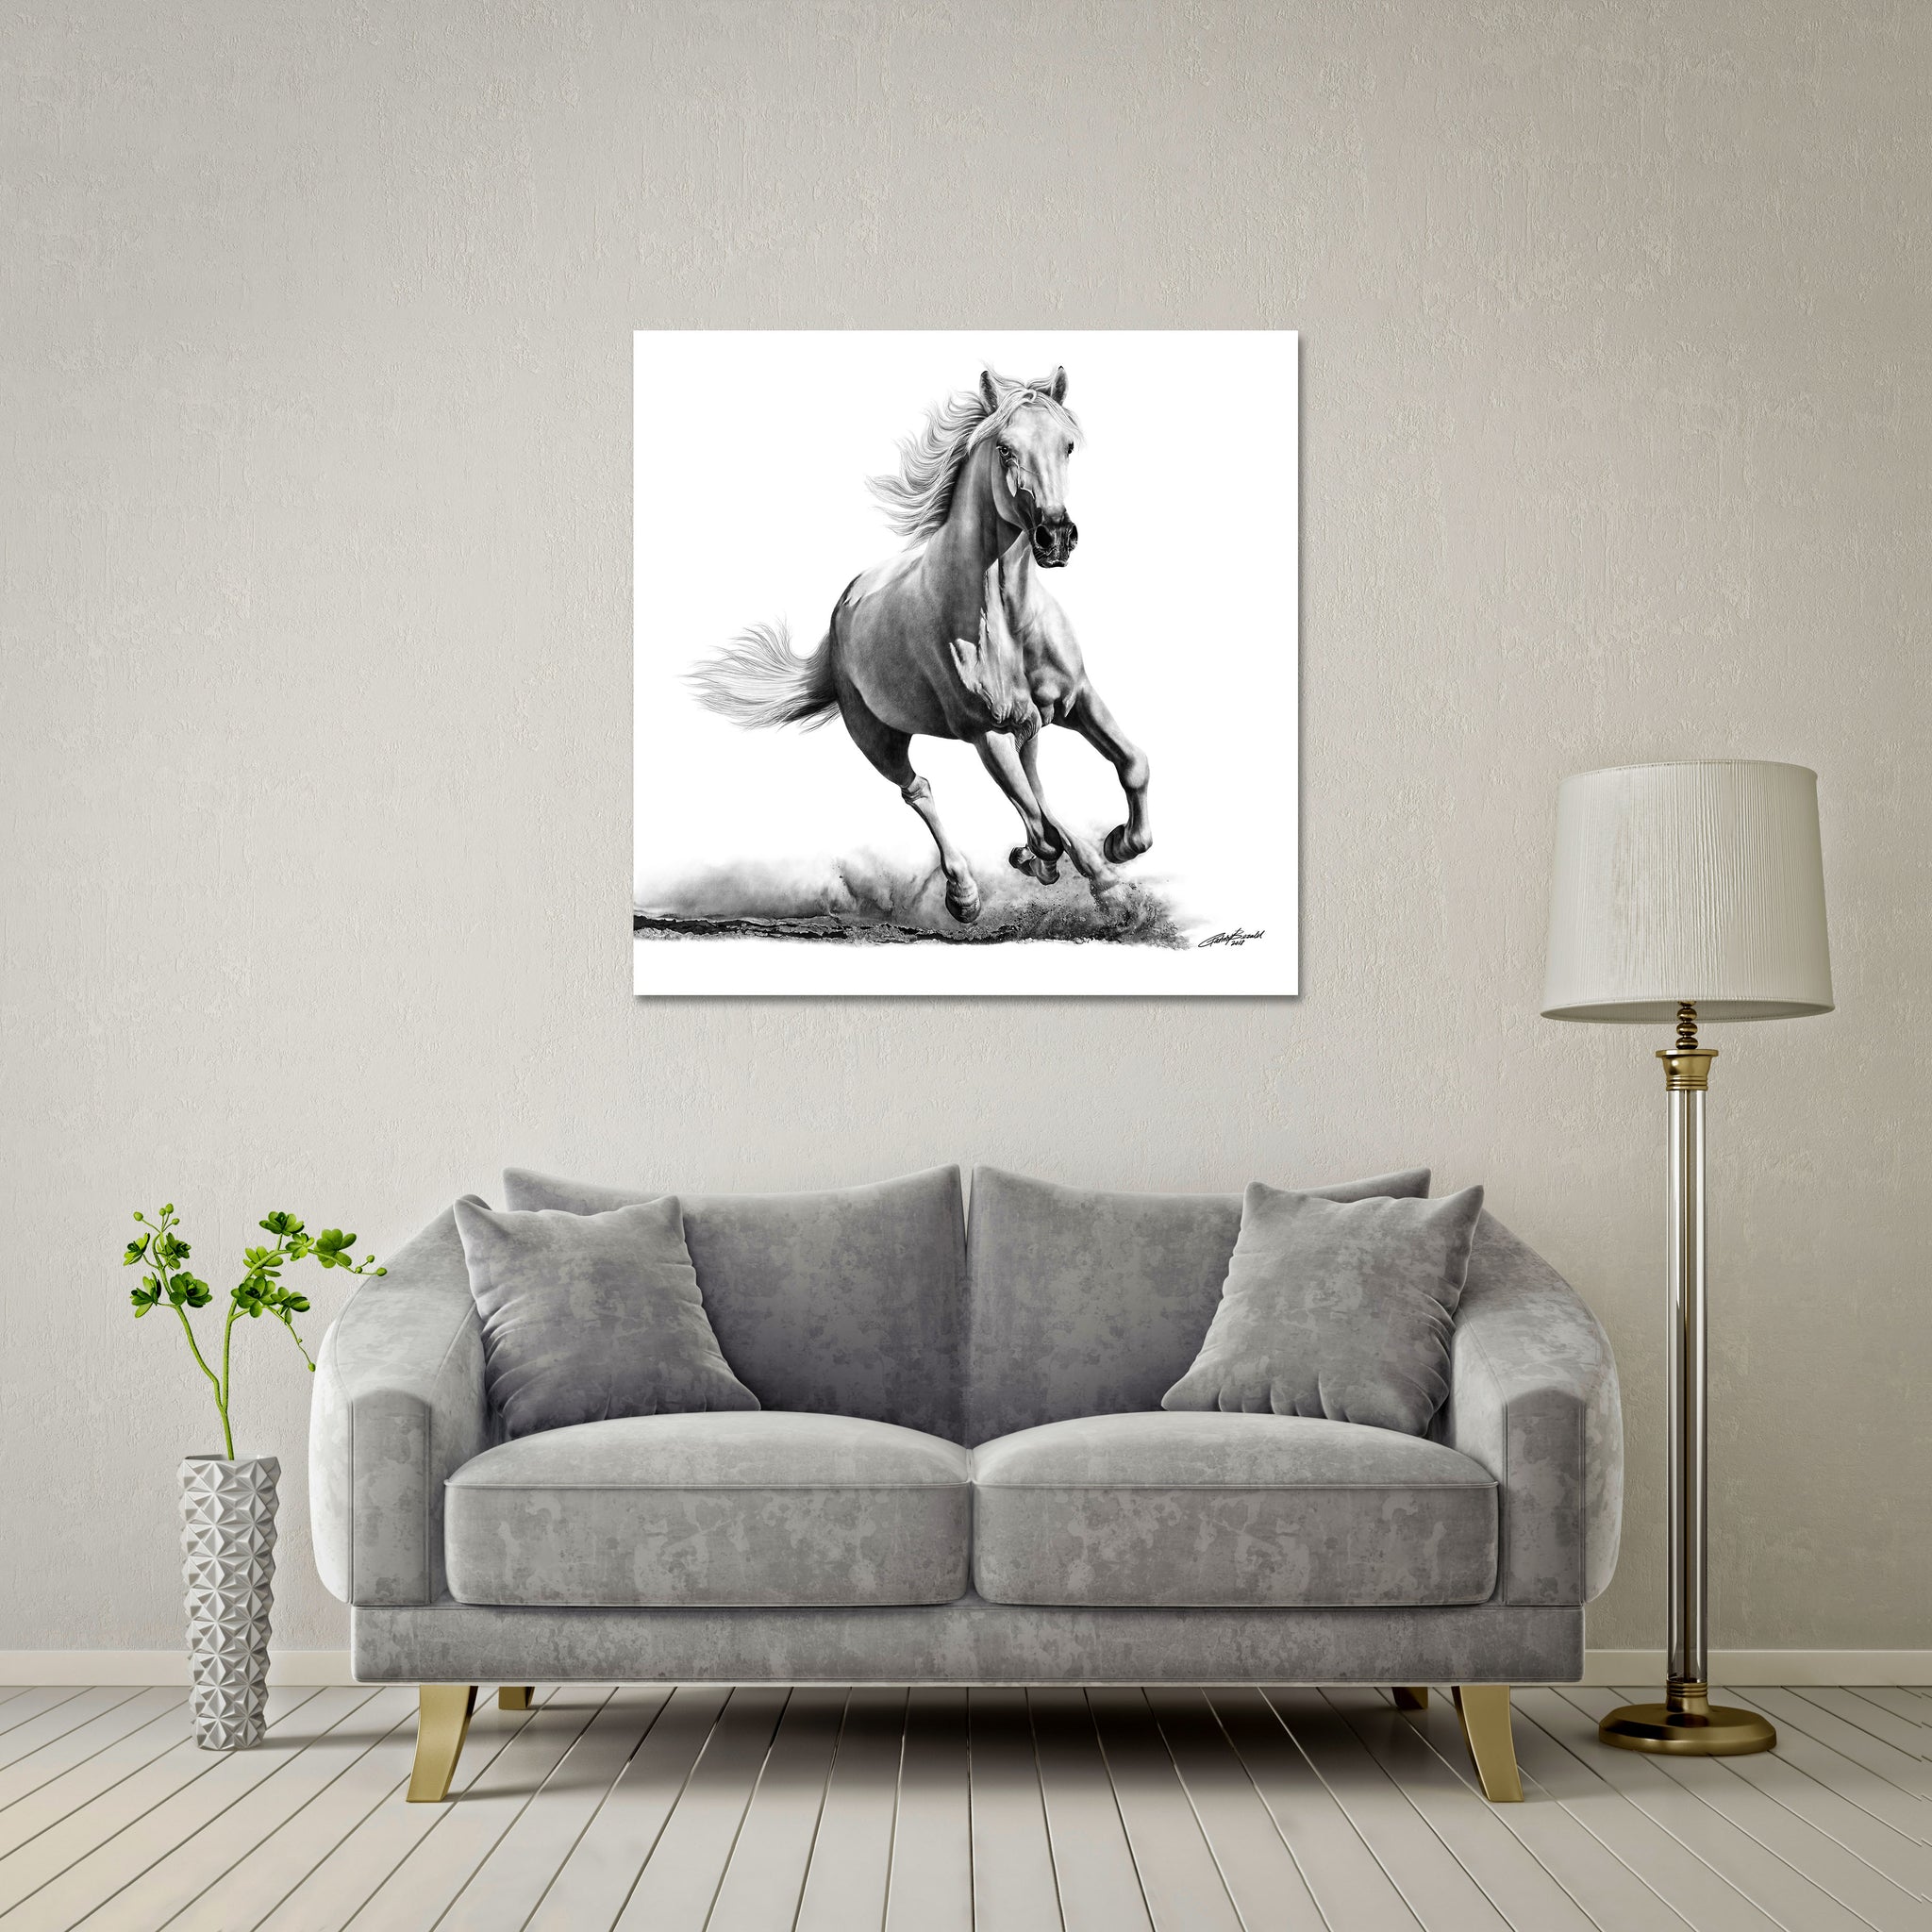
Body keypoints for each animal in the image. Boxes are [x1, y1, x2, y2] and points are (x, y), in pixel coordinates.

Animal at [686, 366, 1152, 924]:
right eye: (1006, 448)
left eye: (1068, 445)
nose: (1055, 537)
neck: (1006, 620)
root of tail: (844, 606)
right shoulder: (986, 733)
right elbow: (1045, 825)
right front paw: (1087, 872)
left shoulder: (1075, 698)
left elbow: (1130, 765)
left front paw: (1119, 852)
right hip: (879, 739)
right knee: (922, 791)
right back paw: (965, 894)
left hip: (1027, 727)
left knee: (1034, 788)